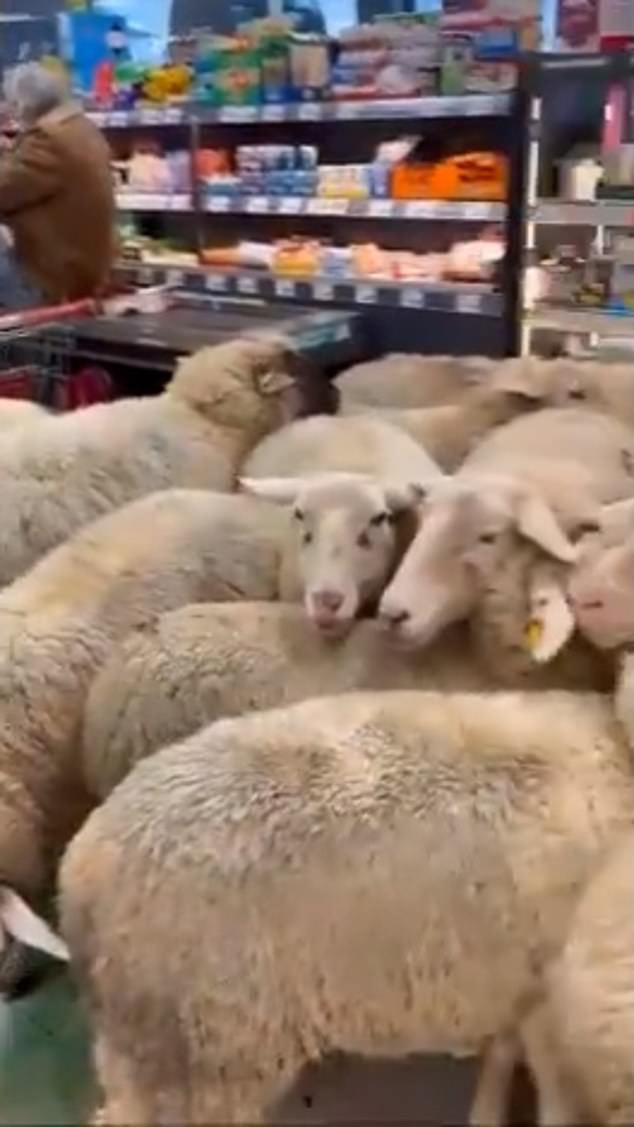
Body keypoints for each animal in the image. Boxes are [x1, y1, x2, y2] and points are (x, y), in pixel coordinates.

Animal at [62, 686, 634, 1126]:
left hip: (145, 1047)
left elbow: (503, 1060)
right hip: (207, 1049)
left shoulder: (523, 991)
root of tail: (79, 871)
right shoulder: (557, 1004)